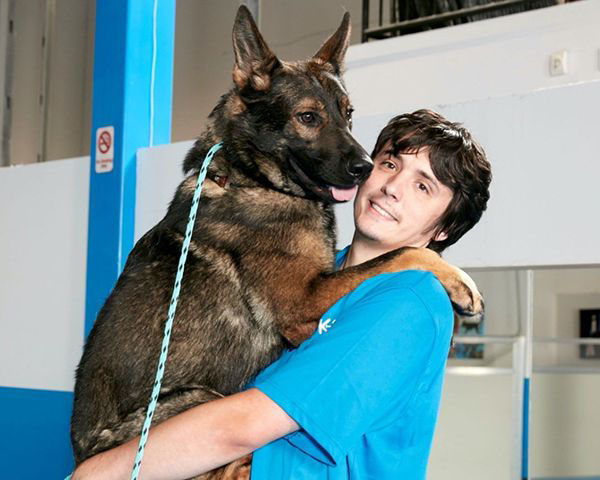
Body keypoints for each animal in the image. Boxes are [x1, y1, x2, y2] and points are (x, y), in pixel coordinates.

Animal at [70, 5, 482, 478]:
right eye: (308, 117)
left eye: (348, 113)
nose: (365, 167)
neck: (251, 176)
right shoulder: (302, 304)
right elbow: (401, 253)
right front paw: (461, 283)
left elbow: (392, 255)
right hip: (195, 399)